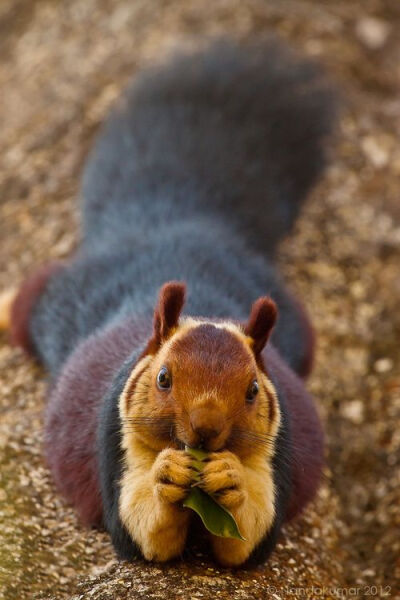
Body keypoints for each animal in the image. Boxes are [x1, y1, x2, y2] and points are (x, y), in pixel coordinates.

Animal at [0, 37, 338, 568]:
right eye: (162, 378)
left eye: (252, 391)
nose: (204, 429)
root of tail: (178, 222)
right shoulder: (113, 438)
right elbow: (138, 532)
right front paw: (168, 475)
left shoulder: (277, 450)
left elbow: (252, 537)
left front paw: (228, 476)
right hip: (69, 299)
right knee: (34, 295)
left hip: (295, 323)